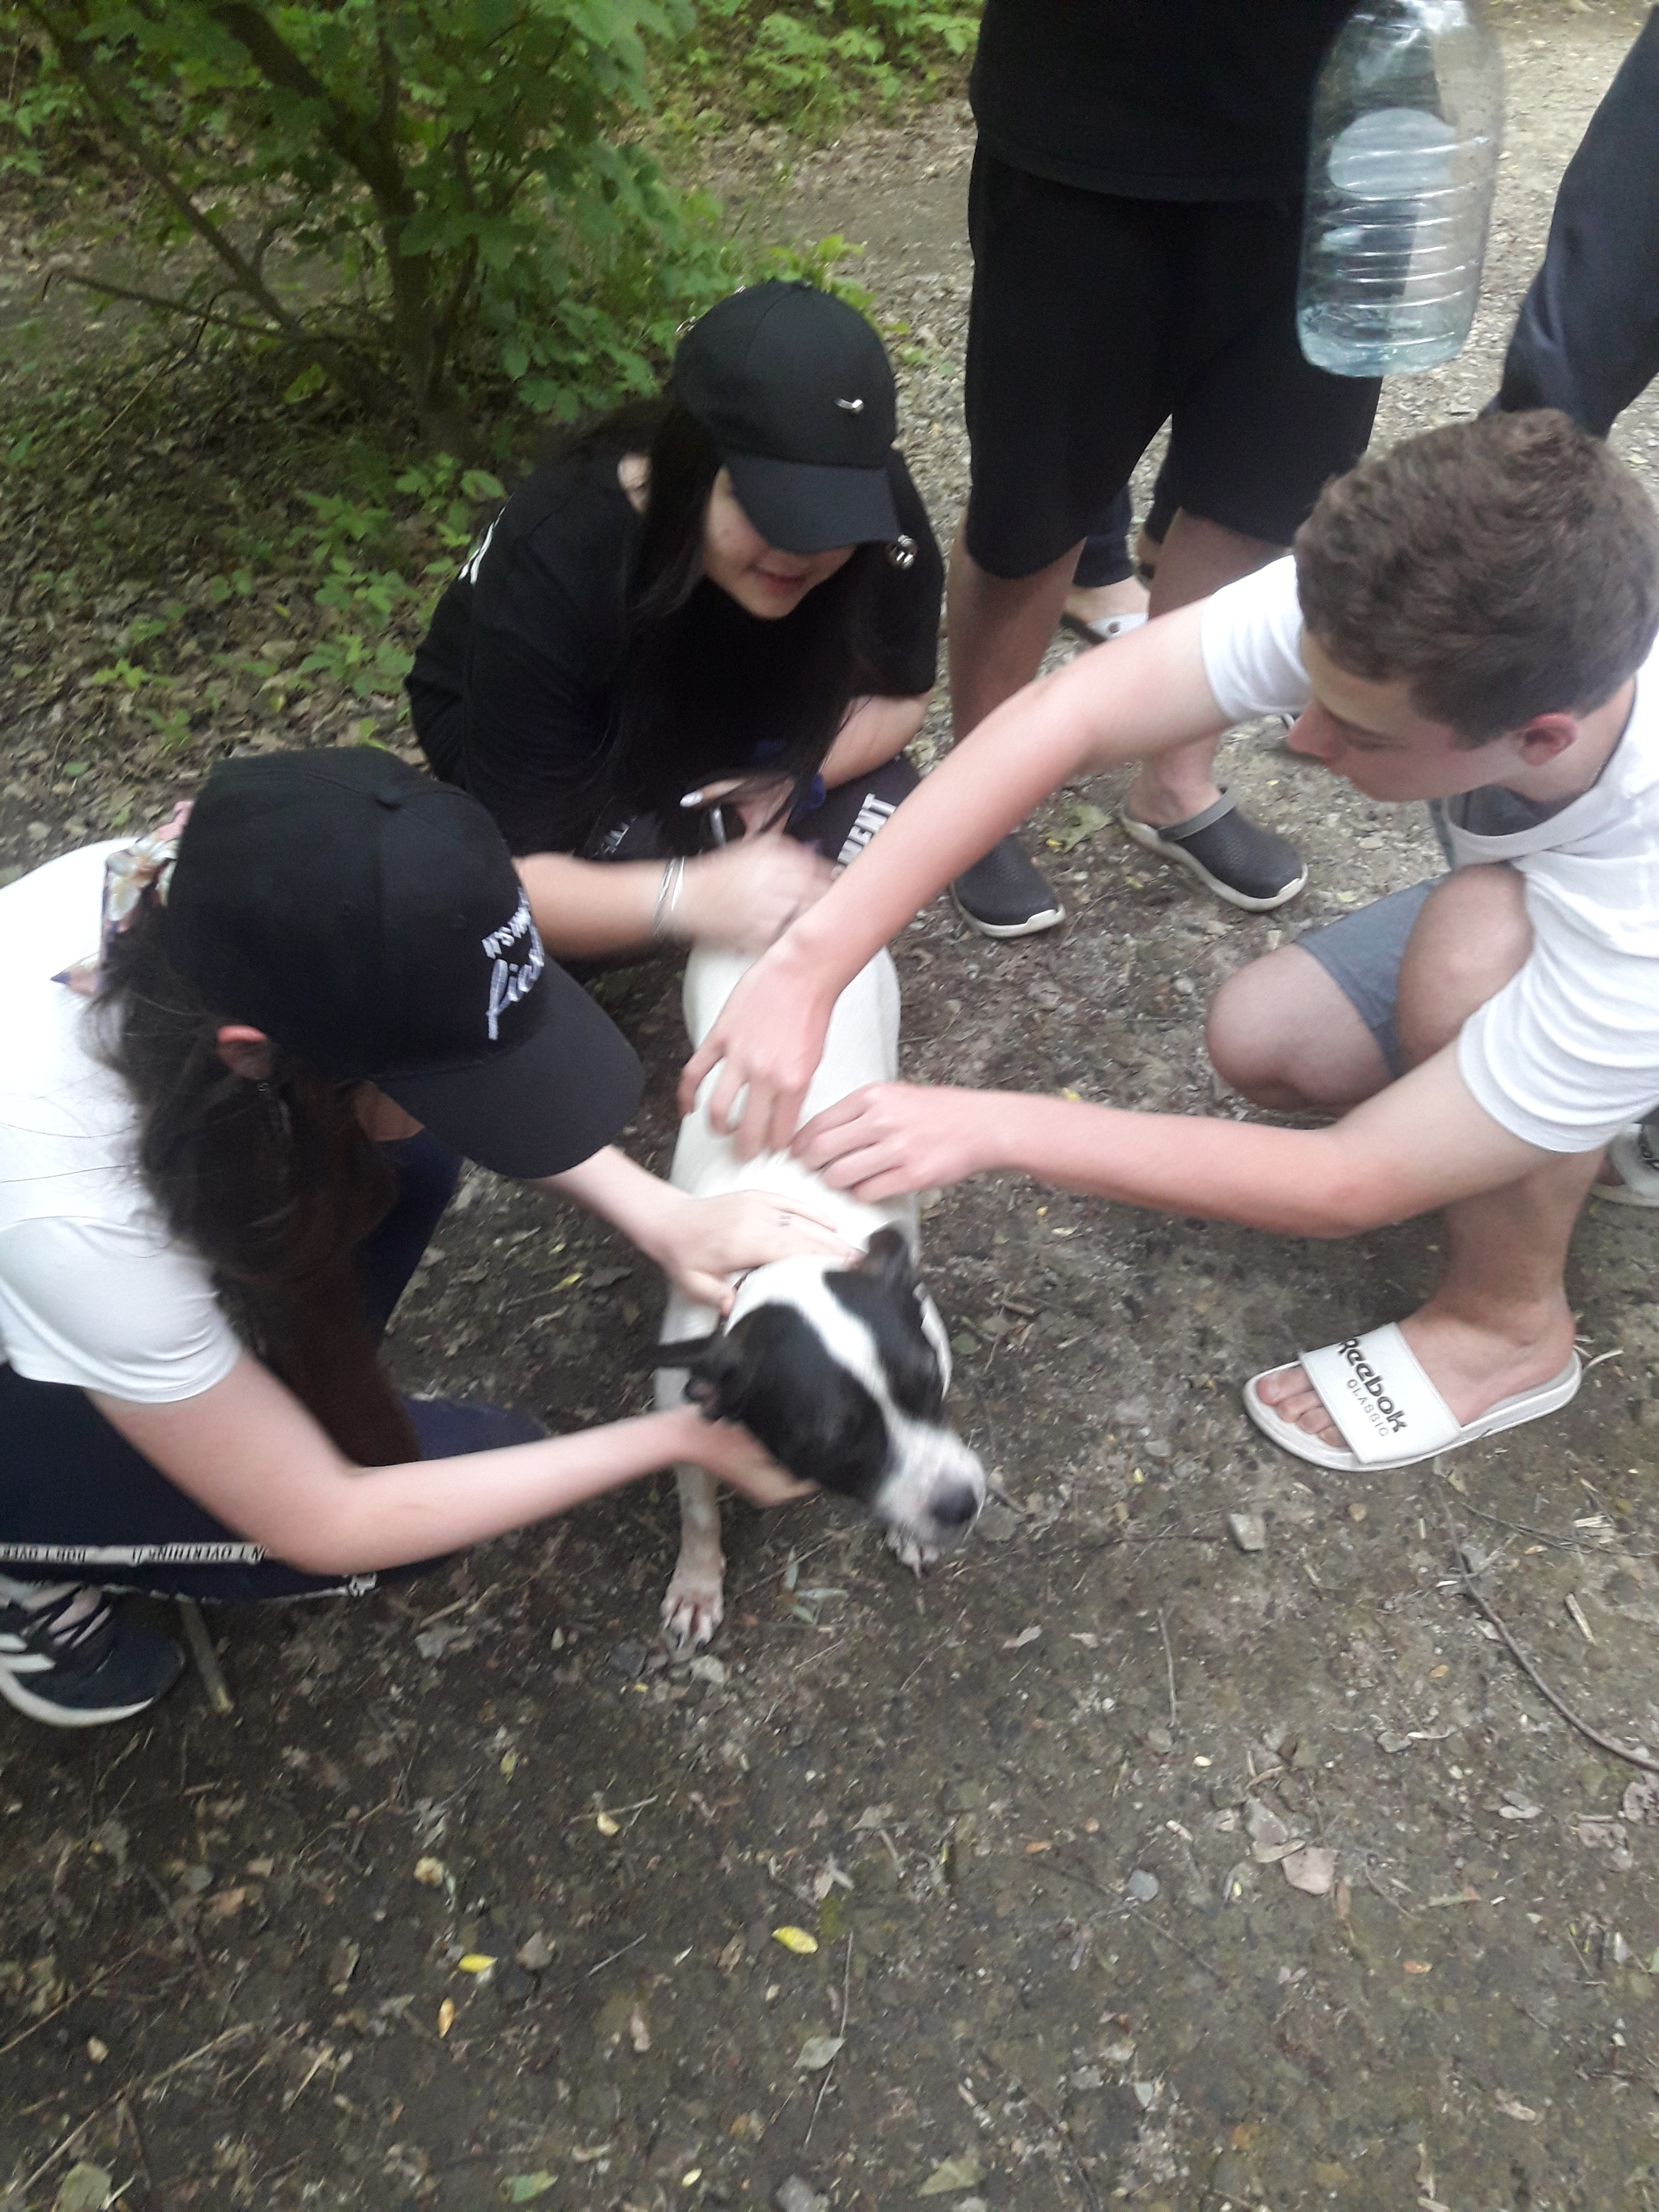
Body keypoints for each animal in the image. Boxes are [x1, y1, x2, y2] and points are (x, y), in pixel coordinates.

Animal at [655, 942, 982, 1654]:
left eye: (932, 1381)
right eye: (835, 1440)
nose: (963, 1503)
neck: (783, 1257)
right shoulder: (679, 1415)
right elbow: (697, 1511)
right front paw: (697, 1581)